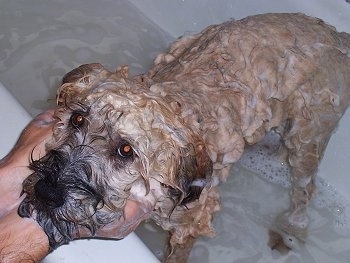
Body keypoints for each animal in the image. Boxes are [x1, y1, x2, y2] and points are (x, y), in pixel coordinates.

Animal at [18, 13, 350, 262]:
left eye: (125, 150)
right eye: (77, 118)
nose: (48, 192)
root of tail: (338, 34)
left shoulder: (192, 221)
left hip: (309, 134)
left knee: (305, 189)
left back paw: (291, 228)